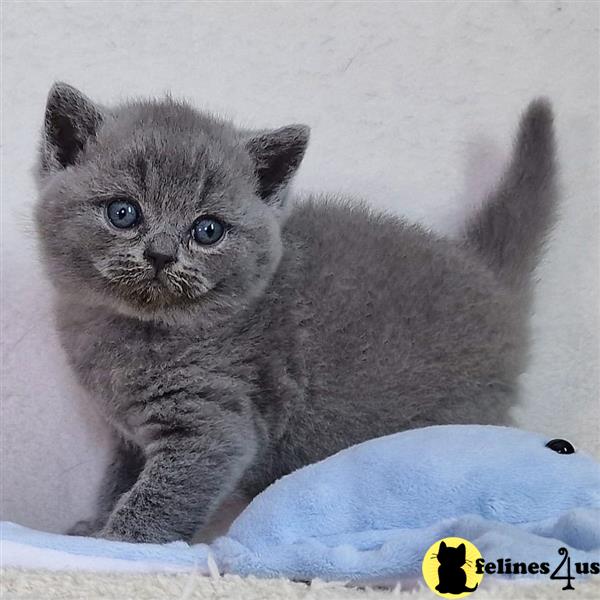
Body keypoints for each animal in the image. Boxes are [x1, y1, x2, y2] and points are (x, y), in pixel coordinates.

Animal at [34, 84, 556, 544]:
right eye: (123, 212)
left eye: (207, 230)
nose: (161, 255)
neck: (132, 331)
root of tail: (487, 274)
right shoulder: (128, 437)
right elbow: (119, 481)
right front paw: (94, 526)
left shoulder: (216, 423)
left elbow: (163, 495)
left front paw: (118, 541)